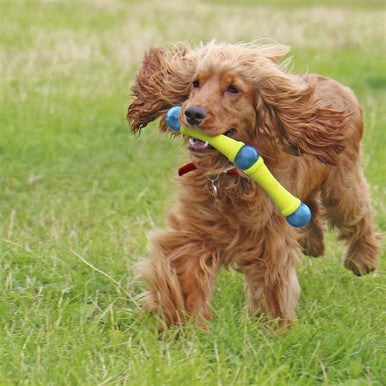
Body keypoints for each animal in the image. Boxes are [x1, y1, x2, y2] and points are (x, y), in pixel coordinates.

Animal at [127, 42, 380, 328]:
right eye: (195, 83)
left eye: (233, 89)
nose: (192, 113)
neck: (230, 173)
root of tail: (340, 87)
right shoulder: (197, 232)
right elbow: (184, 275)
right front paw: (181, 324)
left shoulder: (269, 238)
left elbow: (272, 285)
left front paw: (273, 328)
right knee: (311, 207)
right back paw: (312, 243)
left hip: (342, 185)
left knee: (358, 216)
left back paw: (363, 261)